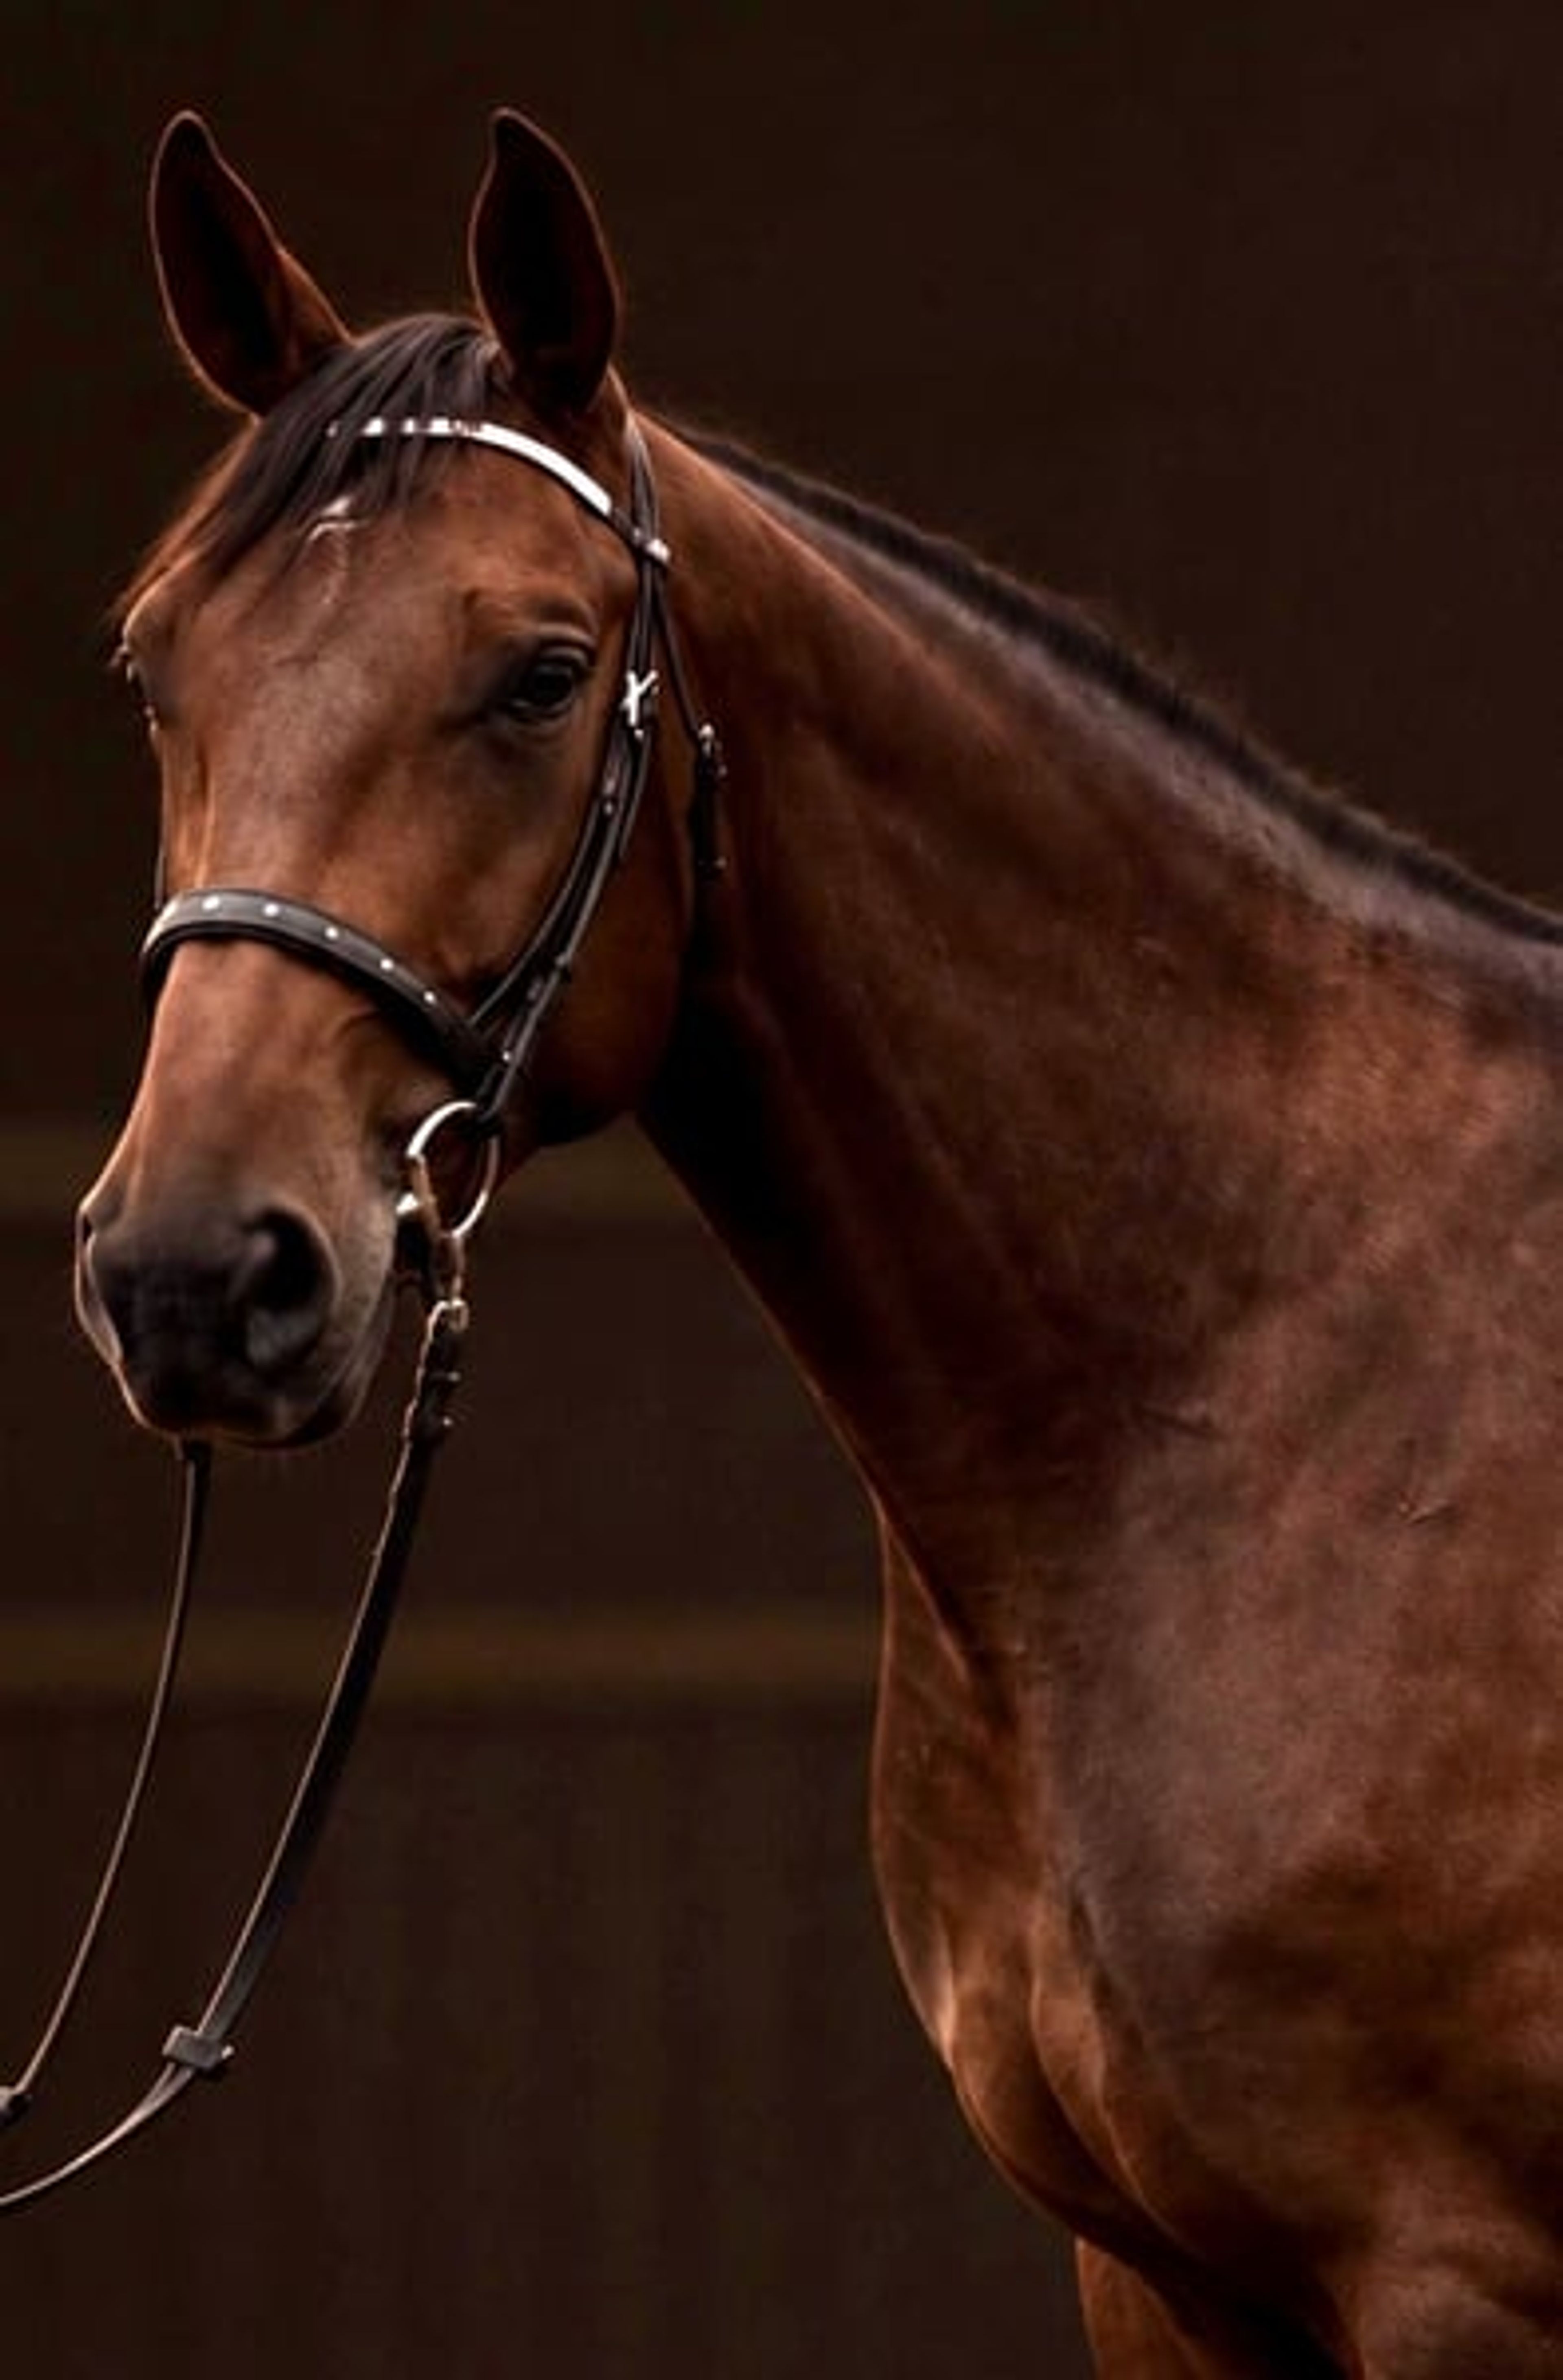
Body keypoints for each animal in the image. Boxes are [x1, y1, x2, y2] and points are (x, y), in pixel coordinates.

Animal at [74, 111, 1561, 2376]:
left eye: (540, 673)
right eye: (158, 662)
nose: (191, 1273)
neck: (1264, 1380)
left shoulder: (1458, 2275)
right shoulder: (1165, 2284)